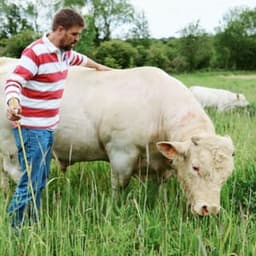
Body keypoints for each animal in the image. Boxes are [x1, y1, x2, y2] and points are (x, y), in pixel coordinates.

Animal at [0, 56, 236, 216]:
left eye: (227, 174)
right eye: (195, 167)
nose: (210, 208)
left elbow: (159, 187)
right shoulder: (122, 152)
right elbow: (119, 185)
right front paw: (115, 206)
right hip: (12, 144)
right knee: (16, 172)